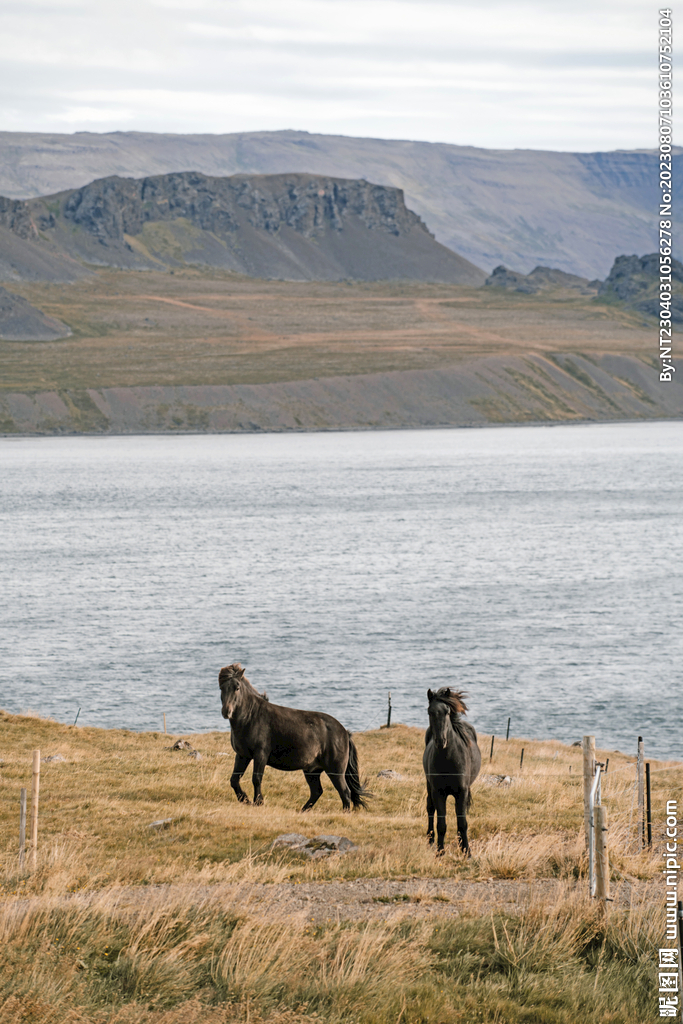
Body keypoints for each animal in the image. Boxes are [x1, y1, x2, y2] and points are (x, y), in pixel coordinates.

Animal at [218, 663, 370, 811]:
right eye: (221, 687)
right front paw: (245, 799)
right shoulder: (242, 755)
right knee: (317, 791)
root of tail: (345, 733)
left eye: (237, 687)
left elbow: (256, 779)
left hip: (335, 771)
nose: (226, 711)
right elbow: (234, 780)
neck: (251, 716)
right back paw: (303, 810)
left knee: (344, 792)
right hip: (312, 771)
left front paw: (258, 802)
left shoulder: (260, 754)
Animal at [423, 687, 481, 855]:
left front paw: (466, 852)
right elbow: (441, 824)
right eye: (429, 712)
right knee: (430, 808)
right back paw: (430, 840)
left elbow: (462, 823)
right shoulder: (438, 793)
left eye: (447, 712)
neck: (448, 759)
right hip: (428, 785)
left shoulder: (461, 792)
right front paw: (440, 852)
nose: (440, 741)